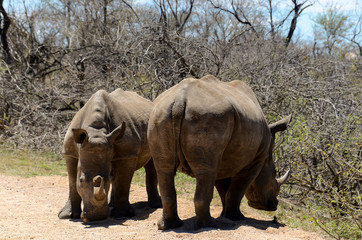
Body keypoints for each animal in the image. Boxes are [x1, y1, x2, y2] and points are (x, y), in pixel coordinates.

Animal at [58, 88, 161, 221]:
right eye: (81, 180)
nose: (96, 217)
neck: (95, 131)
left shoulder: (127, 154)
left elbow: (123, 182)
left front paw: (121, 214)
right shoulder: (70, 153)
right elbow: (72, 182)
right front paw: (66, 215)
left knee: (151, 165)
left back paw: (156, 205)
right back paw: (111, 204)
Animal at [147, 74, 292, 229]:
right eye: (274, 174)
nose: (273, 205)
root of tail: (180, 100)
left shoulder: (225, 159)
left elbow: (224, 189)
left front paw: (225, 215)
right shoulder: (256, 159)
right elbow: (237, 189)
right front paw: (237, 218)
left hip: (160, 114)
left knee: (165, 169)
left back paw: (169, 225)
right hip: (208, 116)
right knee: (206, 171)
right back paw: (208, 225)